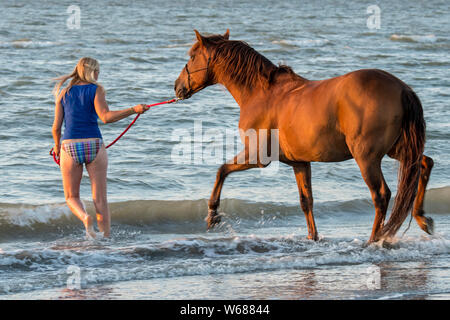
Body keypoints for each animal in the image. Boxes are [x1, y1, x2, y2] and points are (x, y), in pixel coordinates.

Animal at [174, 30, 434, 242]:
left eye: (192, 56)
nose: (177, 87)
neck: (261, 94)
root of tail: (402, 88)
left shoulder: (258, 158)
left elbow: (221, 170)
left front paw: (212, 215)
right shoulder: (299, 162)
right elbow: (306, 201)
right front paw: (312, 237)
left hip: (367, 157)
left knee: (381, 195)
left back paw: (375, 239)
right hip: (398, 149)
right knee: (424, 164)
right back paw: (422, 219)